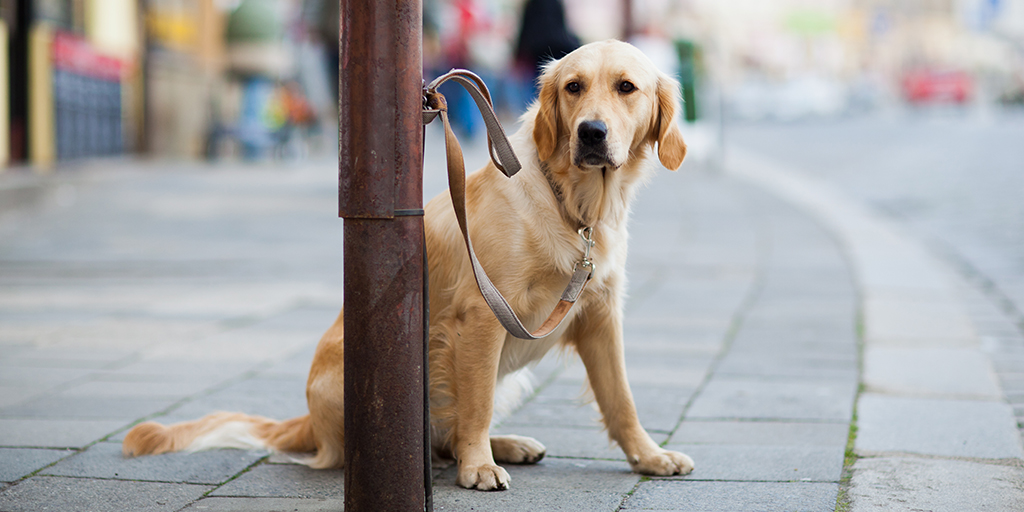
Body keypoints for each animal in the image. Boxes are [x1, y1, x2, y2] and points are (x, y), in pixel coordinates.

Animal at [121, 38, 696, 487]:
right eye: (574, 87)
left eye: (627, 87)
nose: (591, 132)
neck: (575, 206)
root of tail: (307, 421)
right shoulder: (484, 314)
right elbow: (477, 406)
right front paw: (477, 468)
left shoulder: (600, 315)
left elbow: (621, 399)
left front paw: (649, 455)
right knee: (441, 432)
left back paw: (507, 444)